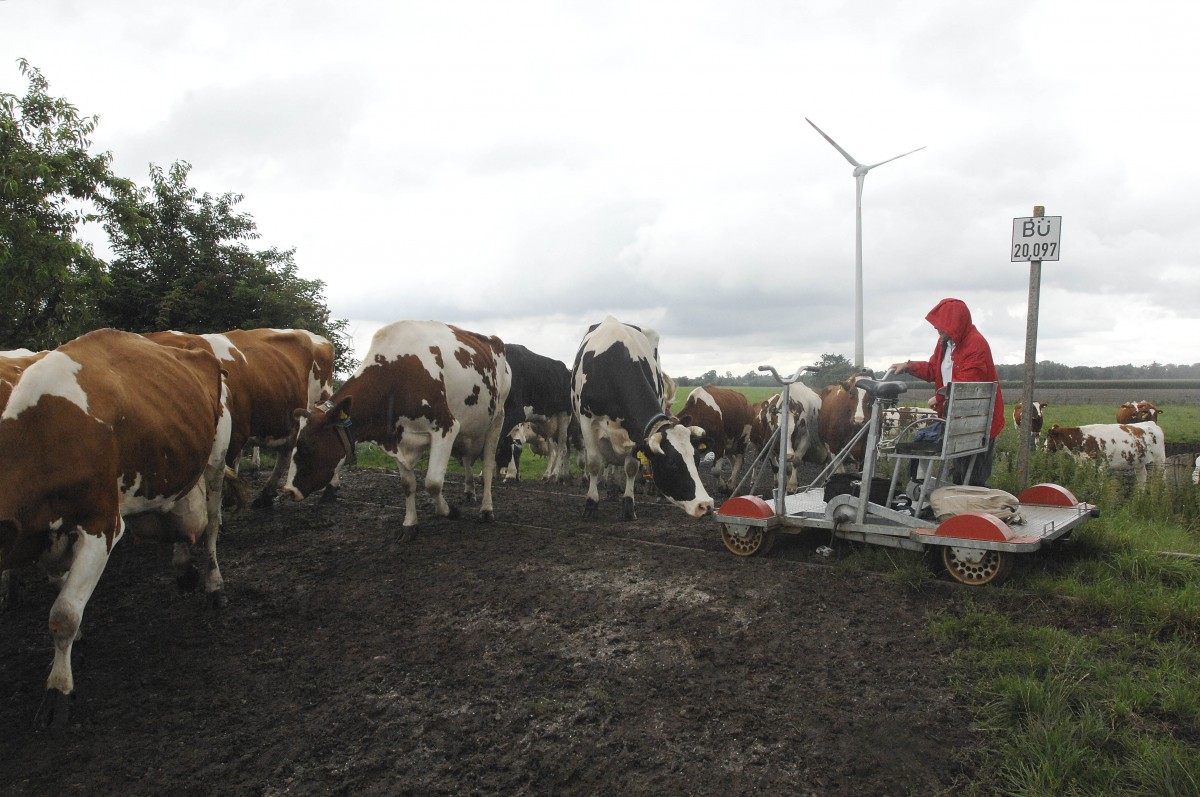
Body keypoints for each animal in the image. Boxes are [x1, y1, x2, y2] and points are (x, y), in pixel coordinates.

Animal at [0, 328, 231, 729]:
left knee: (212, 525)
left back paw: (213, 585)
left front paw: (58, 691)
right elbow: (62, 590)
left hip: (215, 460)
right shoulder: (45, 536)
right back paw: (185, 569)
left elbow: (63, 615)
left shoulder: (101, 525)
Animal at [285, 321, 511, 537]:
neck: (397, 375)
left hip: (497, 419)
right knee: (467, 460)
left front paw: (449, 511)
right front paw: (410, 524)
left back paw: (486, 509)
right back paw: (470, 493)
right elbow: (407, 484)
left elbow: (433, 482)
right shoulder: (396, 436)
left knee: (488, 467)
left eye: (306, 448)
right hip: (470, 431)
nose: (288, 491)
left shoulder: (446, 427)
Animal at [494, 343, 573, 482]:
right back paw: (548, 474)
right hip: (548, 425)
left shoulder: (515, 414)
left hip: (564, 415)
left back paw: (555, 475)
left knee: (562, 447)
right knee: (553, 450)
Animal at [568, 314, 710, 520]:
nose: (705, 505)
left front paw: (629, 505)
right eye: (671, 464)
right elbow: (594, 463)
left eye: (697, 459)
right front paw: (591, 505)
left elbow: (631, 467)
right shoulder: (588, 421)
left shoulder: (635, 432)